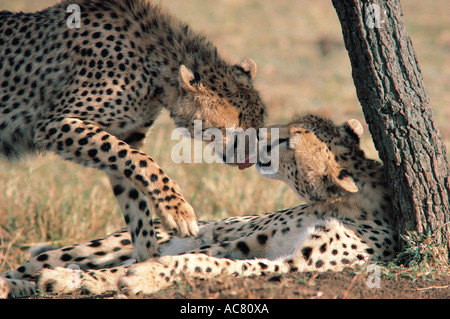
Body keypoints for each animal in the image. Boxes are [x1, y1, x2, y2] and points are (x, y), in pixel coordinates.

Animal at [0, 0, 266, 264]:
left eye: (259, 126)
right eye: (235, 130)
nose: (252, 159)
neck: (155, 68)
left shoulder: (126, 137)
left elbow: (134, 194)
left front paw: (147, 258)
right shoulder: (53, 124)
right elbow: (146, 164)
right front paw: (178, 213)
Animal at [2, 115, 398, 300]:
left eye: (287, 140)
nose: (257, 135)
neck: (339, 204)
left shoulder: (289, 264)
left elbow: (204, 263)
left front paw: (141, 277)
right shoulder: (242, 241)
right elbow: (193, 255)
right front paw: (97, 278)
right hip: (89, 247)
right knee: (28, 266)